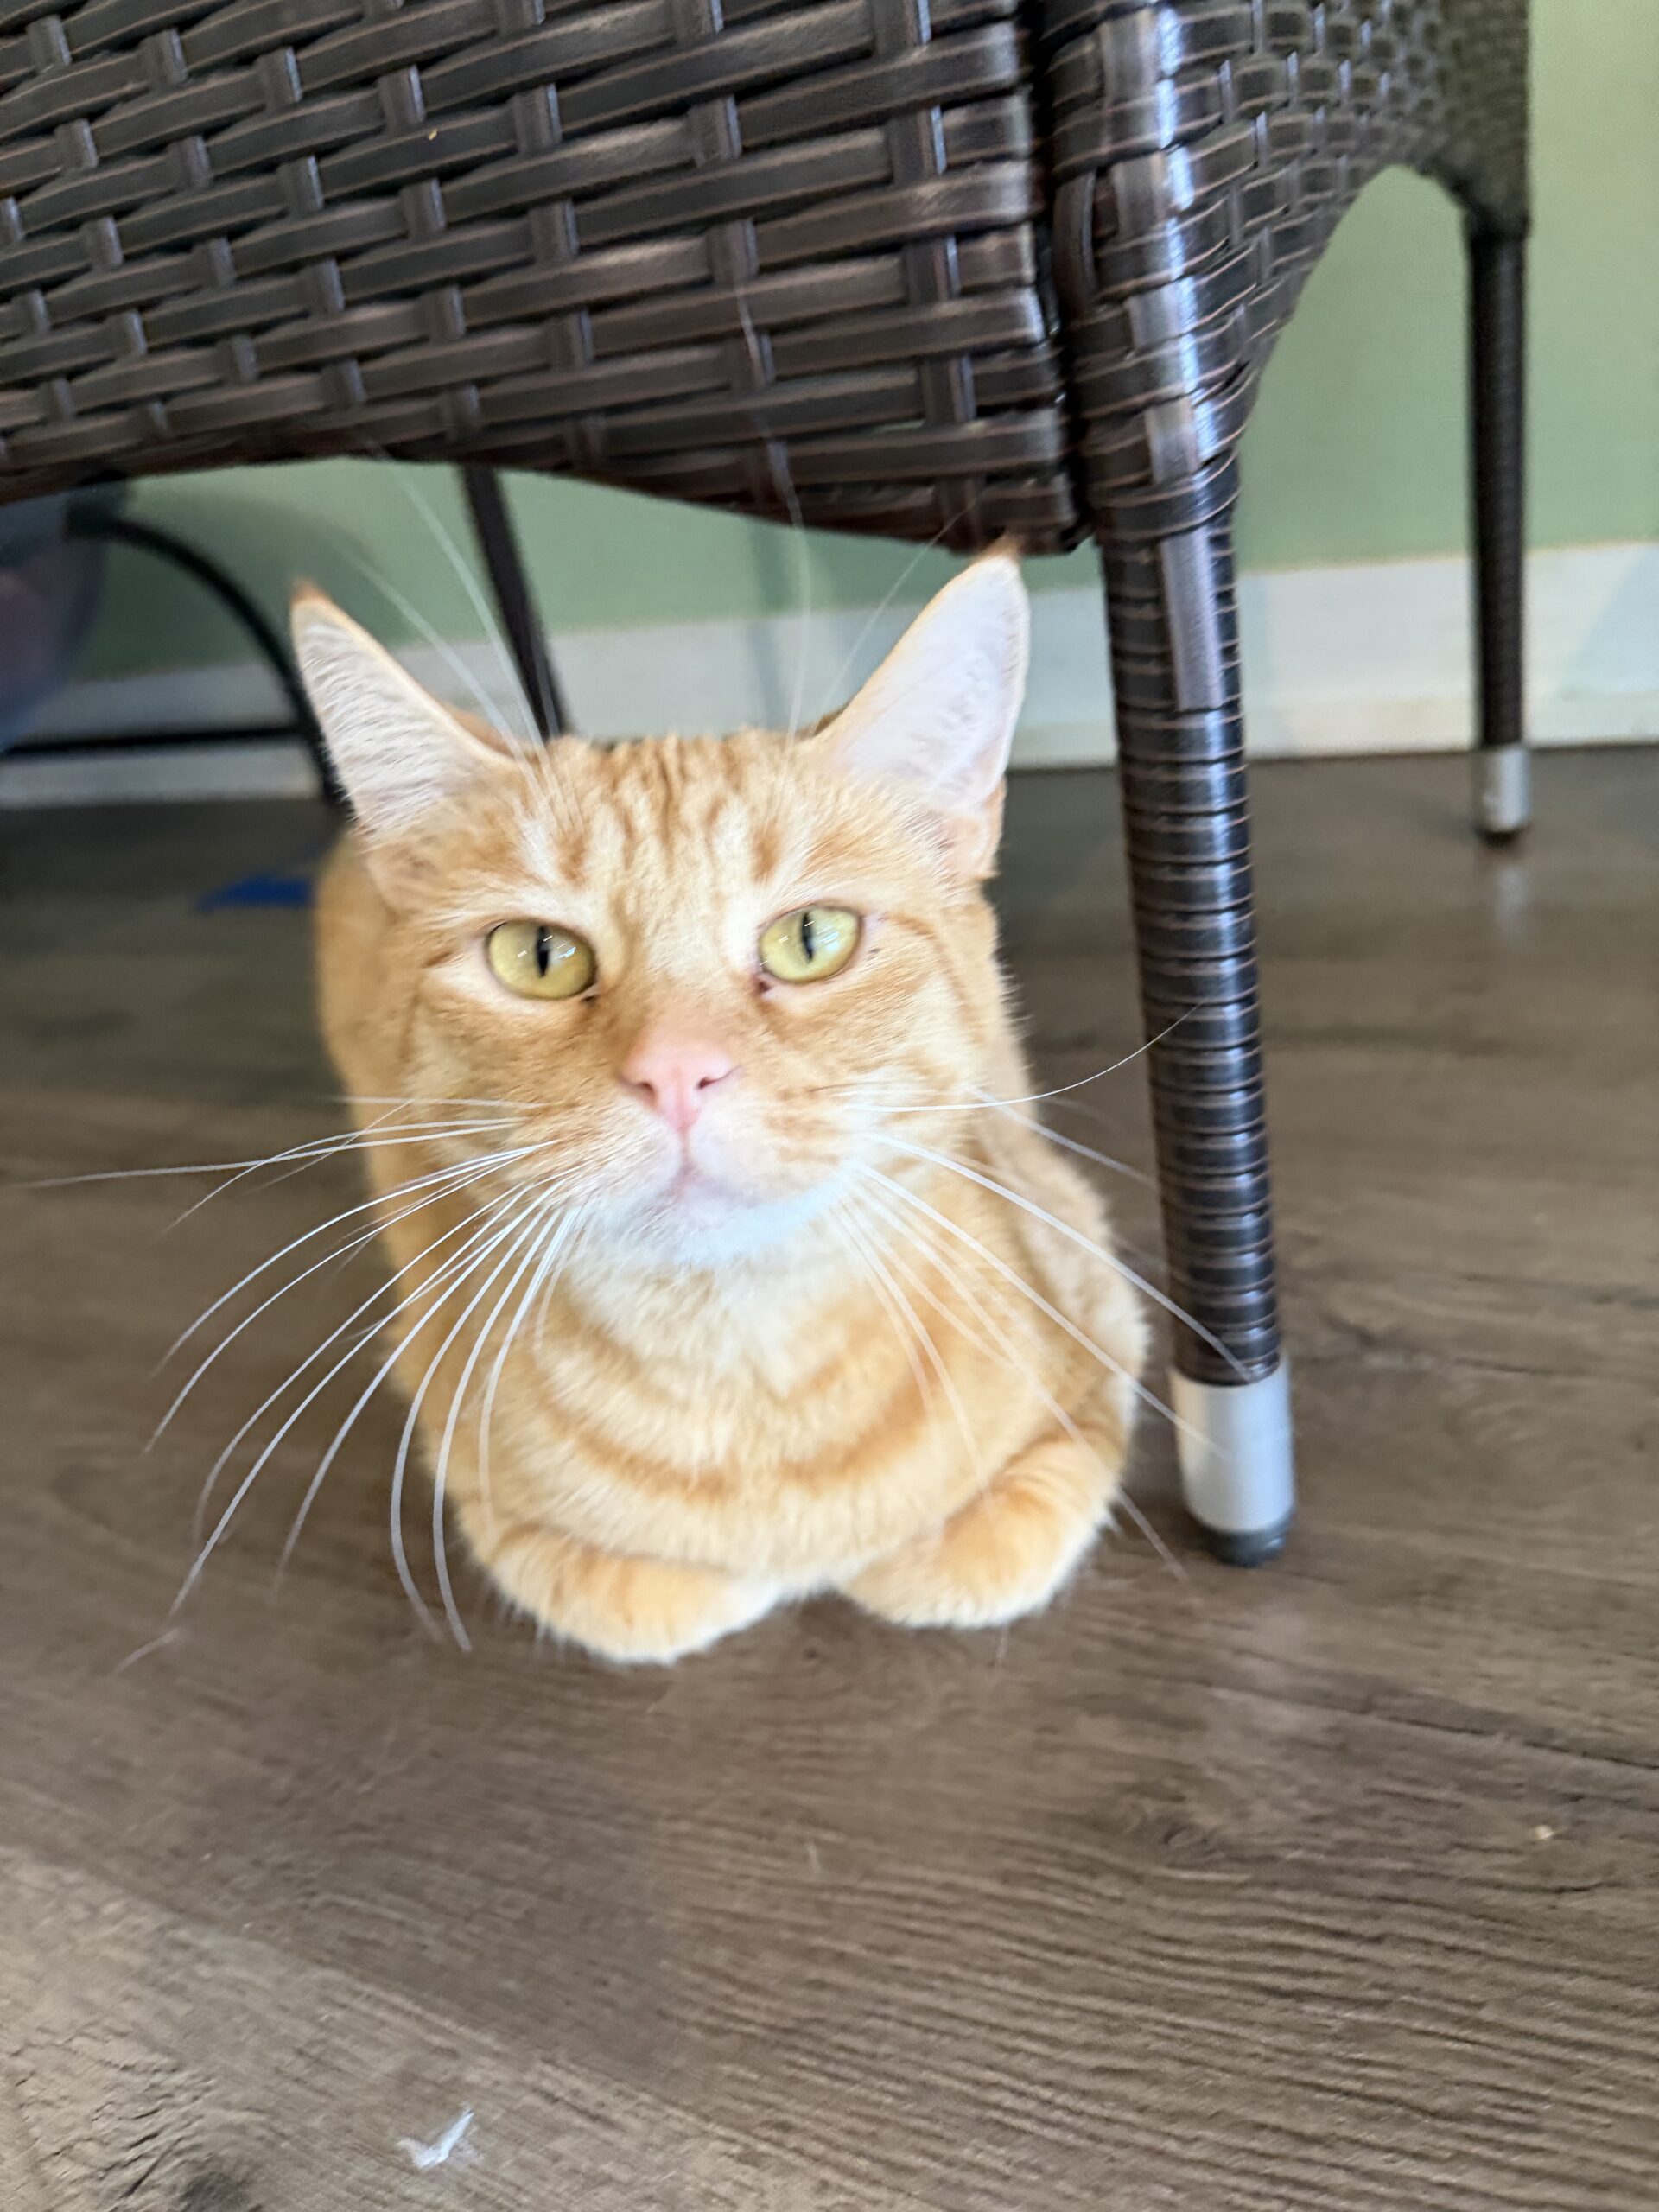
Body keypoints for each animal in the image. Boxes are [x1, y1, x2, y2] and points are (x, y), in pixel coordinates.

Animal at [295, 554, 1146, 1664]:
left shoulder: (1096, 1327)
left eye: (812, 938)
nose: (676, 1072)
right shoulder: (483, 1486)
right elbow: (646, 1597)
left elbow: (986, 1550)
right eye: (537, 955)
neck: (742, 1380)